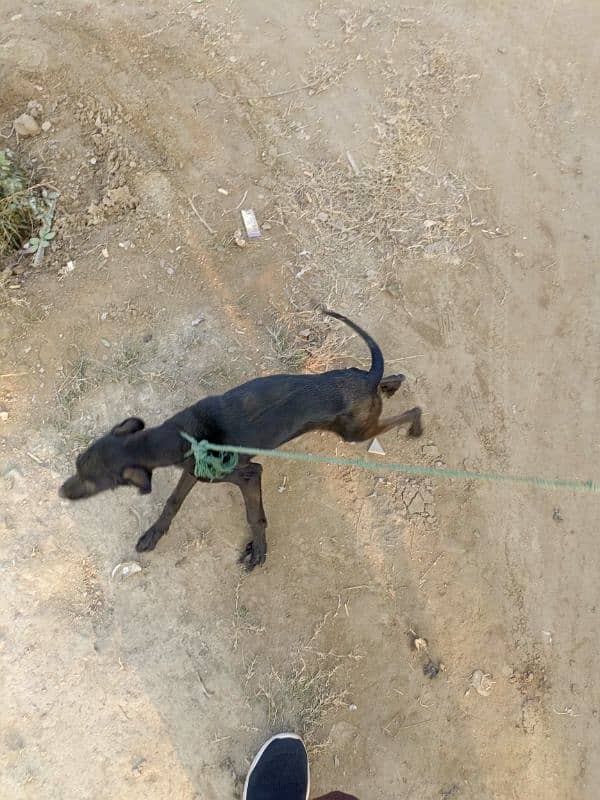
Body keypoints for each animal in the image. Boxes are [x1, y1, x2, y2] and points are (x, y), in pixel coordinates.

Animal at [58, 310, 420, 564]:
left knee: (410, 410)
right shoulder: (193, 473)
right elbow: (172, 503)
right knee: (392, 377)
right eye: (77, 464)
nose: (61, 492)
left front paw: (258, 550)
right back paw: (390, 385)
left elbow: (254, 515)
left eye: (91, 482)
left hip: (354, 432)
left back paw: (416, 426)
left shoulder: (248, 474)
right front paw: (153, 535)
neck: (182, 437)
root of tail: (367, 379)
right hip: (358, 397)